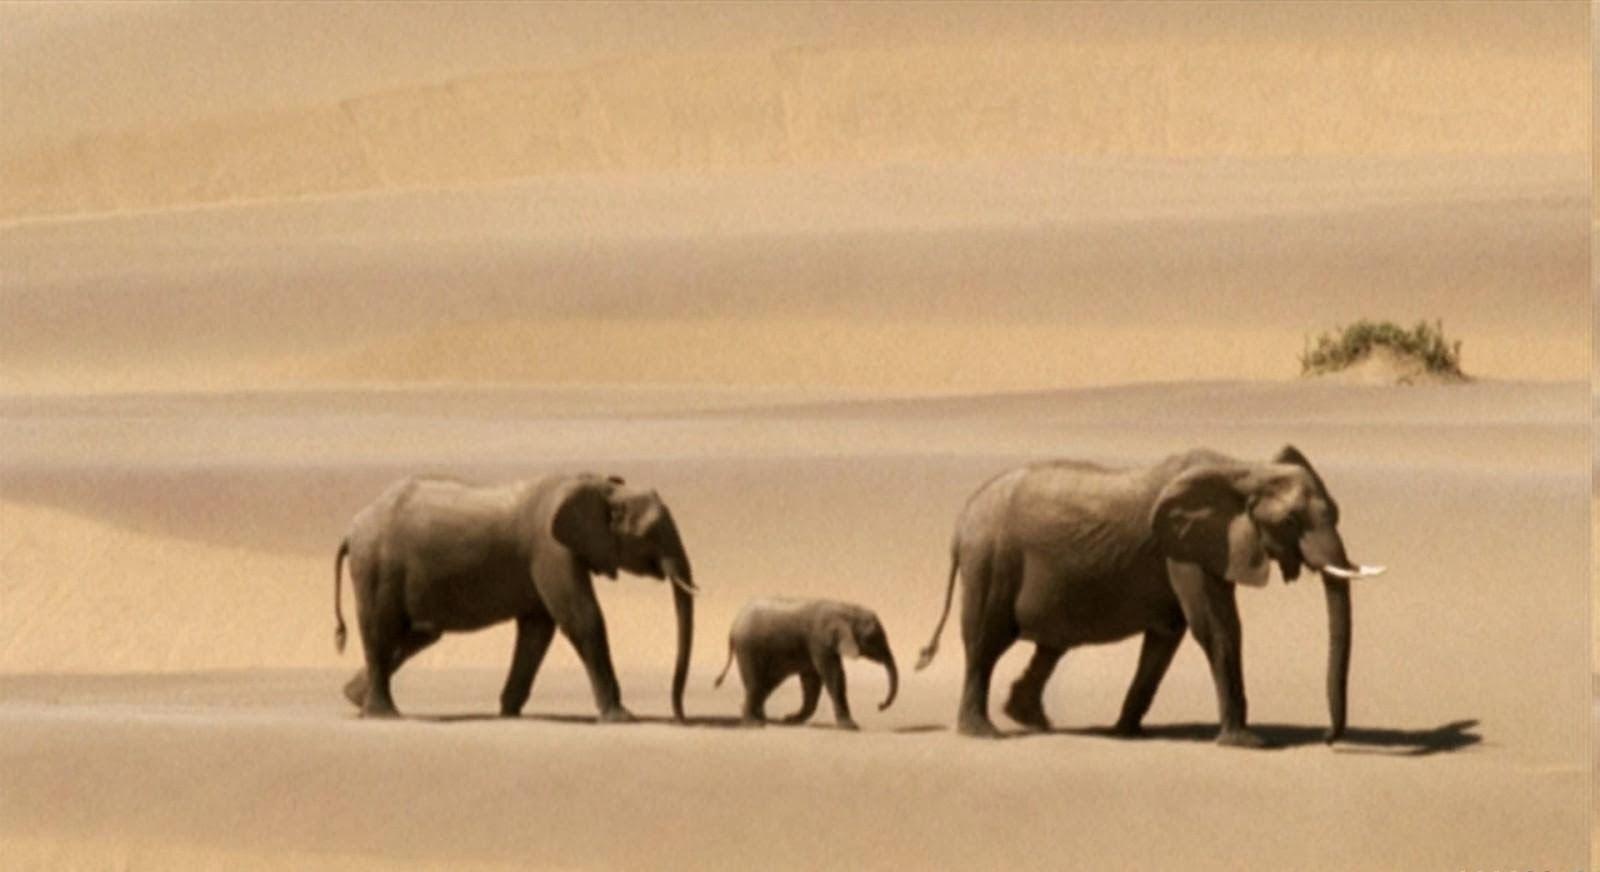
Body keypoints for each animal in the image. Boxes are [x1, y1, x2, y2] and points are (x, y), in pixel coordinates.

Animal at [332, 472, 698, 721]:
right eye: (650, 533)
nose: (680, 717)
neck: (599, 487)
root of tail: (352, 529)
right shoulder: (551, 550)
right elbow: (582, 619)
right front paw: (622, 718)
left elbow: (538, 631)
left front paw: (508, 712)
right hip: (375, 565)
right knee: (382, 629)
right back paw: (383, 714)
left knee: (419, 633)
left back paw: (354, 698)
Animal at [713, 598, 898, 730]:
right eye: (874, 638)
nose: (880, 705)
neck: (846, 609)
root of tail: (732, 628)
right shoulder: (819, 641)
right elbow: (833, 675)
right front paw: (851, 727)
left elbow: (812, 681)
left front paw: (791, 720)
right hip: (748, 647)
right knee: (756, 683)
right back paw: (754, 724)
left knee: (766, 684)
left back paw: (760, 718)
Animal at [916, 446, 1384, 746]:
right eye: (1290, 521)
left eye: (1336, 512)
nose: (1327, 737)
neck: (1242, 468)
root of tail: (961, 521)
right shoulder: (1184, 551)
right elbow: (1215, 628)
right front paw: (1246, 742)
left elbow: (1167, 637)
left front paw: (1126, 732)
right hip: (990, 561)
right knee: (985, 644)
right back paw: (985, 733)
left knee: (1051, 645)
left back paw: (1031, 719)